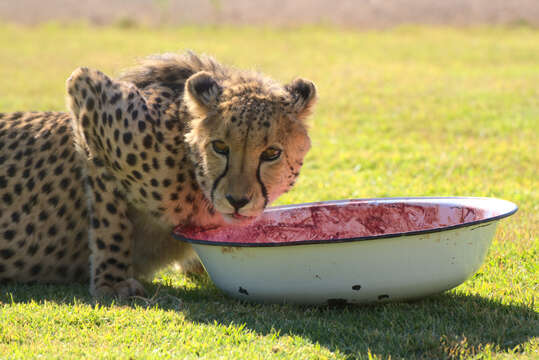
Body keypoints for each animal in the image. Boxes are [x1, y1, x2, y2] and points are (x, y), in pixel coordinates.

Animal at [0, 52, 316, 296]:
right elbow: (110, 218)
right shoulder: (89, 95)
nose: (237, 201)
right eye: (220, 146)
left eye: (271, 153)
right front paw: (112, 283)